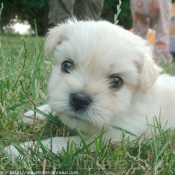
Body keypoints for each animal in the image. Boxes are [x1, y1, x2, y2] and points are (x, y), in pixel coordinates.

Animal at [4, 19, 175, 157]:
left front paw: (19, 150)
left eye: (116, 81)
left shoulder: (110, 138)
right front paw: (33, 114)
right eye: (67, 65)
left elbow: (62, 142)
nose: (79, 100)